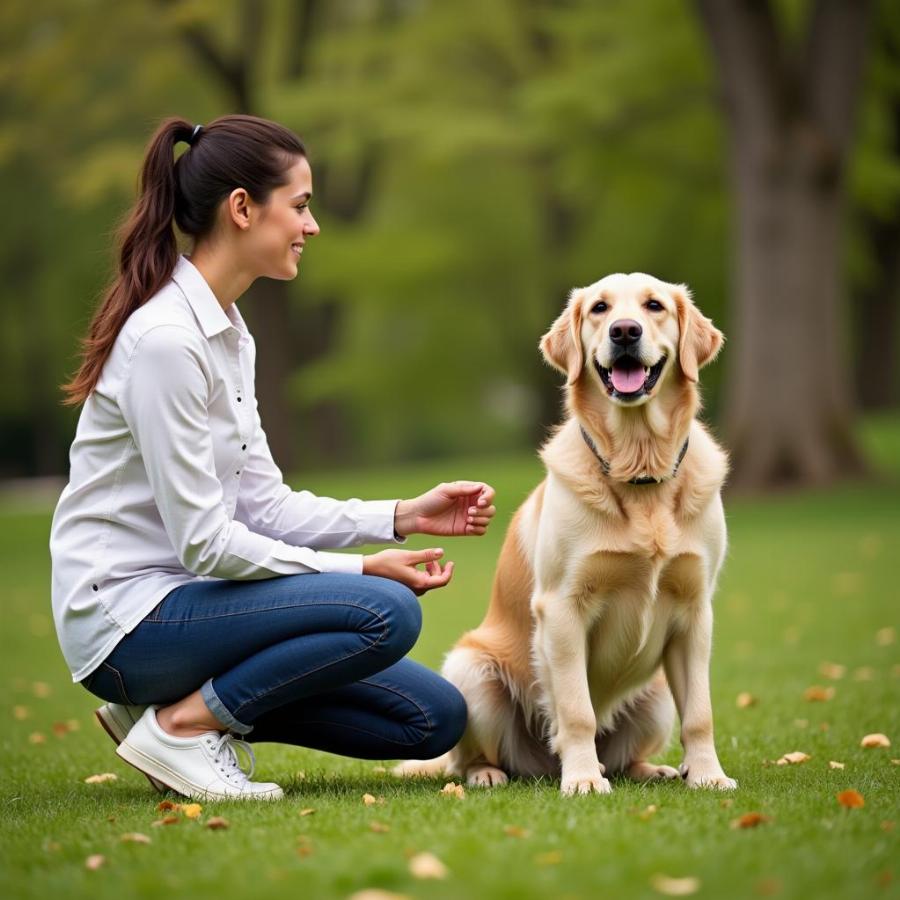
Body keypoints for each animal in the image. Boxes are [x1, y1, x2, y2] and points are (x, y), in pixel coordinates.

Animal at [398, 270, 736, 792]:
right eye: (599, 308)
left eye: (654, 306)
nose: (624, 331)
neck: (639, 469)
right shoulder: (561, 607)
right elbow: (577, 710)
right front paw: (581, 781)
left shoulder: (695, 610)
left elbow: (700, 713)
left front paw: (708, 775)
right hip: (471, 670)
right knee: (473, 757)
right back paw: (492, 774)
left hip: (657, 694)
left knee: (624, 755)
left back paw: (649, 768)